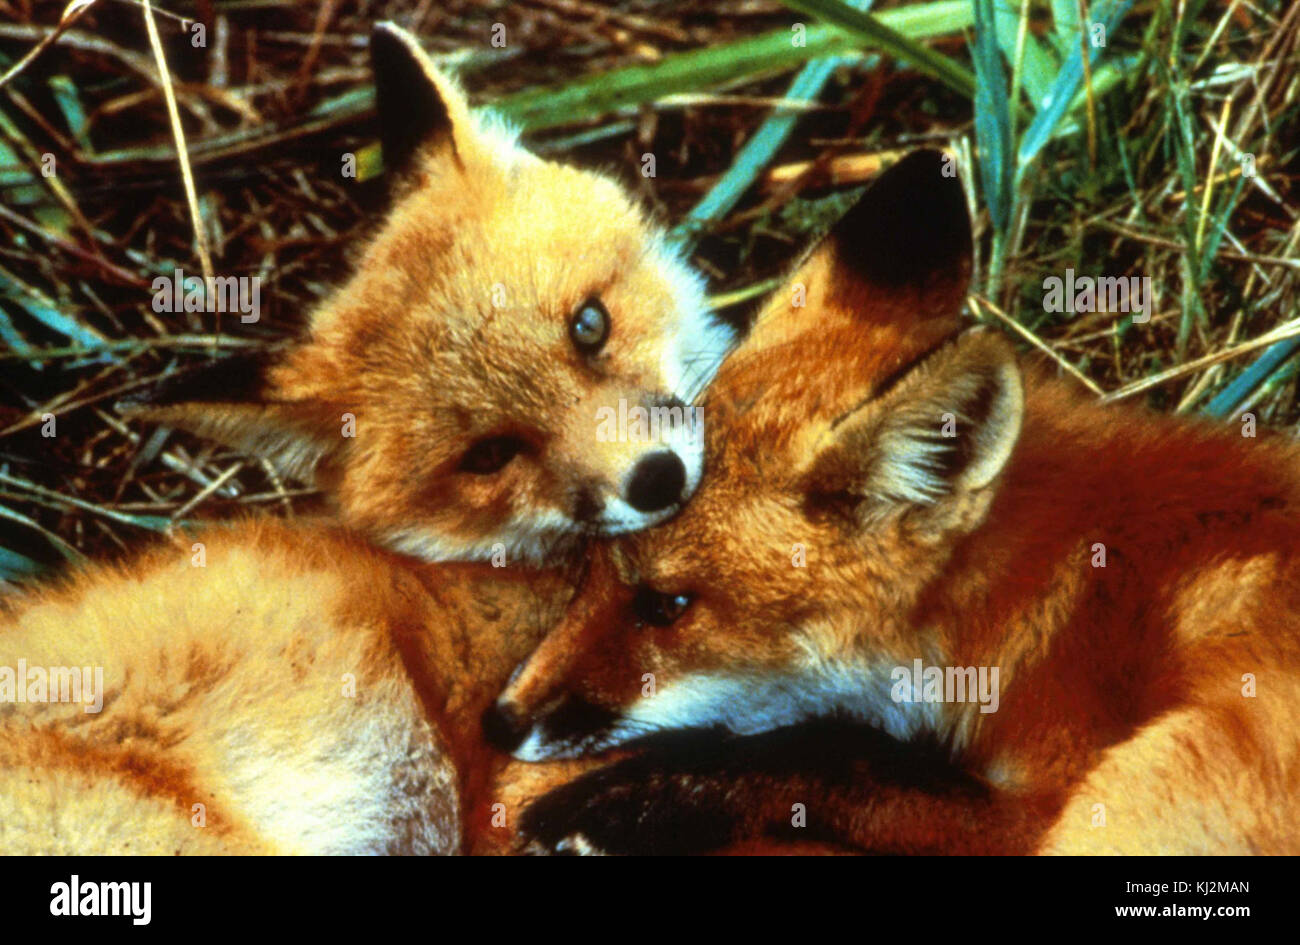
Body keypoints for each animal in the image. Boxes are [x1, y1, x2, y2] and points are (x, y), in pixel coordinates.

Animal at [485, 150, 1300, 855]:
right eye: (593, 568)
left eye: (665, 606)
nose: (500, 722)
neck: (1063, 590)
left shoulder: (1038, 807)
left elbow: (836, 752)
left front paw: (633, 801)